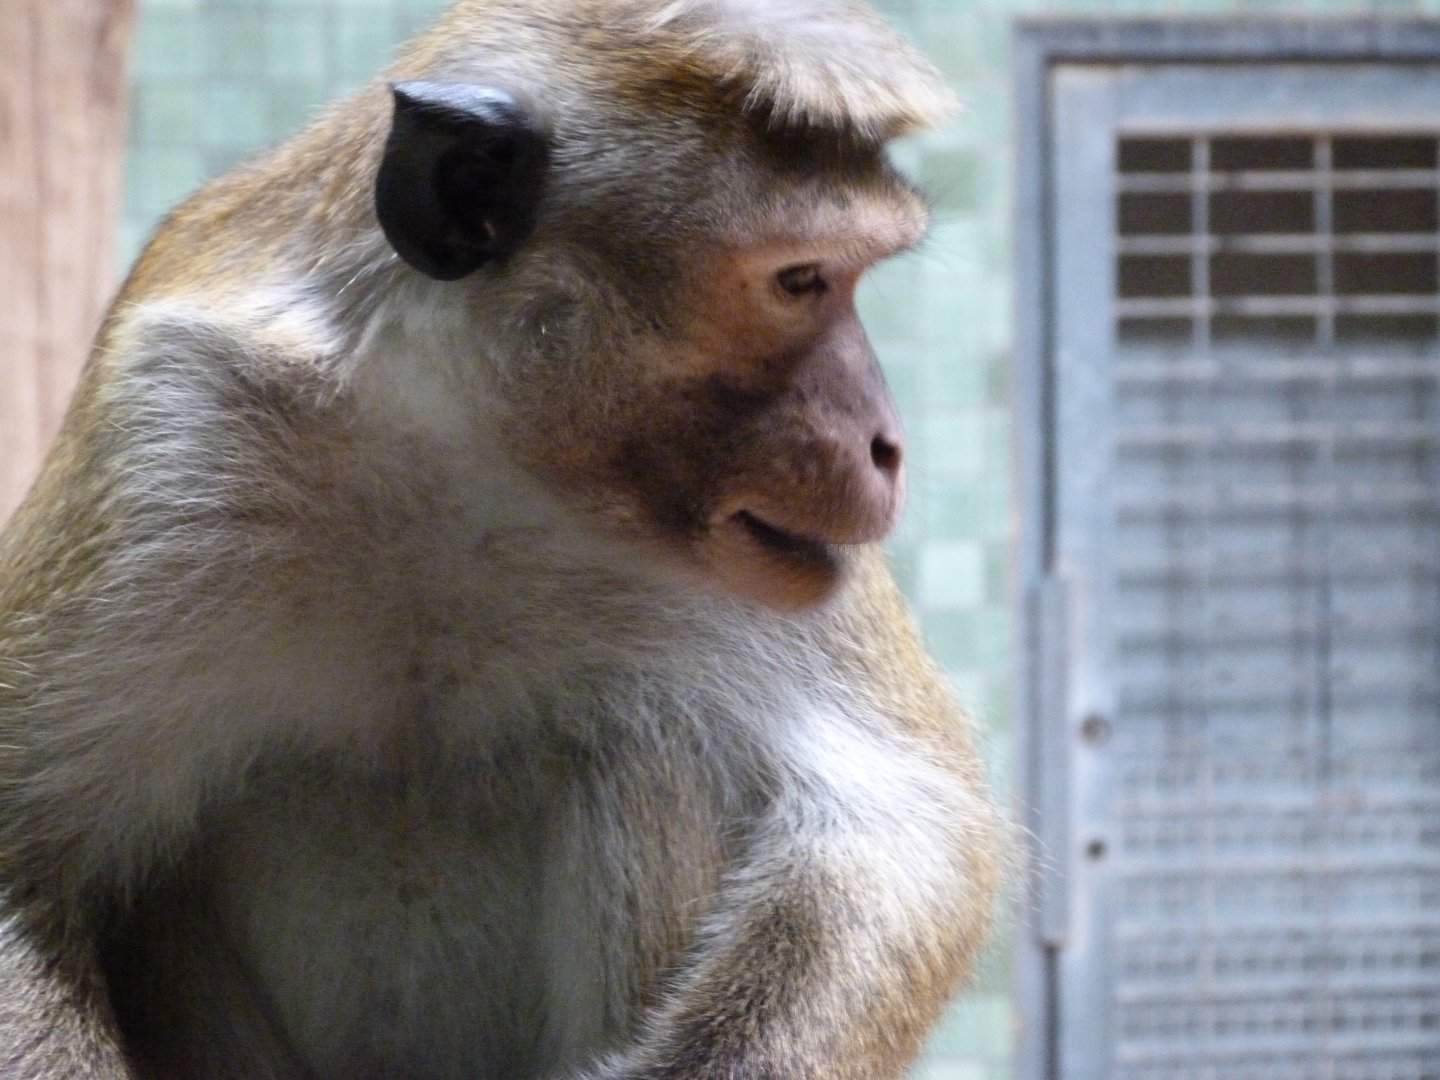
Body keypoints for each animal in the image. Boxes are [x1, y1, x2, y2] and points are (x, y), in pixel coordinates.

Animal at [0, 0, 1004, 1077]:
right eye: (803, 281)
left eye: (845, 278)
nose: (886, 442)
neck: (457, 449)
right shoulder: (173, 427)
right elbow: (26, 858)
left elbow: (902, 833)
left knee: (650, 732)